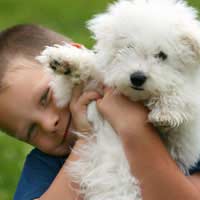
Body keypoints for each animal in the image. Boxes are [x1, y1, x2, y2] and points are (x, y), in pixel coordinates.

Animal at [37, 0, 200, 200]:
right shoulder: (88, 87)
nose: (137, 77)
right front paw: (65, 60)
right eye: (128, 47)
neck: (137, 98)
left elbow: (183, 94)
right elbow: (93, 67)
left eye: (162, 55)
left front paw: (166, 110)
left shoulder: (182, 143)